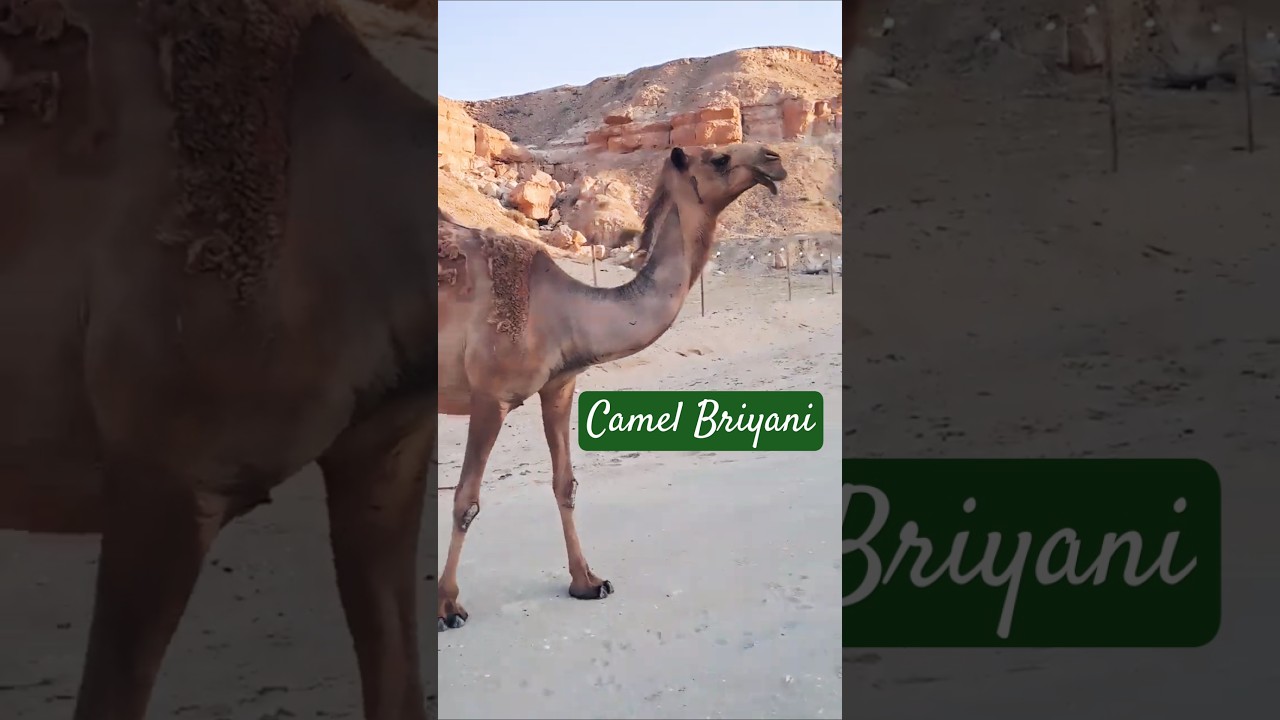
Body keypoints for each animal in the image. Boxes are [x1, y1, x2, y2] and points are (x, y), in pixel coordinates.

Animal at [437, 142, 788, 631]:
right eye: (718, 158)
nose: (773, 158)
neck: (559, 310)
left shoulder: (560, 386)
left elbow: (565, 485)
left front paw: (587, 581)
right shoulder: (491, 395)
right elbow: (466, 500)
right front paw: (447, 605)